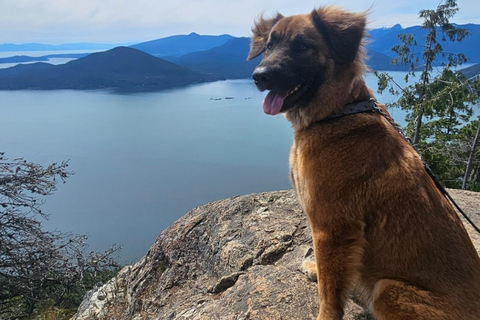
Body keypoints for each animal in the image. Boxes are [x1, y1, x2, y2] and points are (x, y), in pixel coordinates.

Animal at [248, 5, 480, 320]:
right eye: (269, 46)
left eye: (302, 47)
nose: (259, 76)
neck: (338, 112)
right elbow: (331, 277)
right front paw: (316, 269)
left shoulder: (332, 228)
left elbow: (330, 293)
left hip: (389, 290)